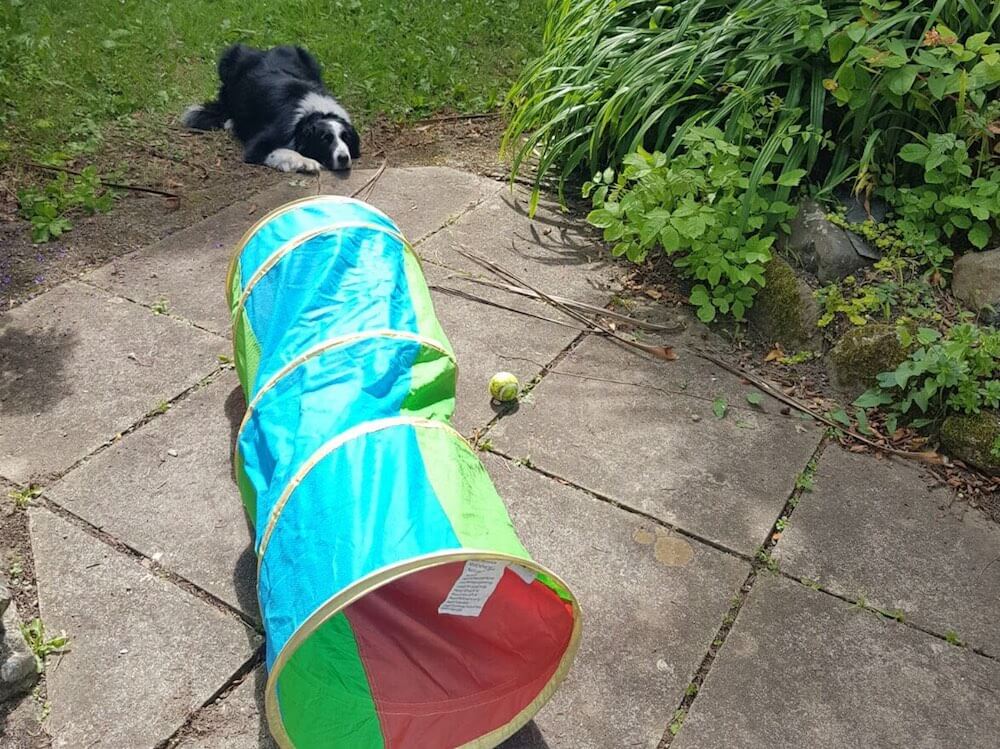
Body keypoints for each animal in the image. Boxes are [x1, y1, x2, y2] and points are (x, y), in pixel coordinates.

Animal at [182, 46, 362, 175]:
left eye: (346, 138)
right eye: (325, 139)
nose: (343, 158)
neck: (316, 113)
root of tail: (263, 50)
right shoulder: (258, 145)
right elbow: (280, 151)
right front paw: (306, 162)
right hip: (229, 59)